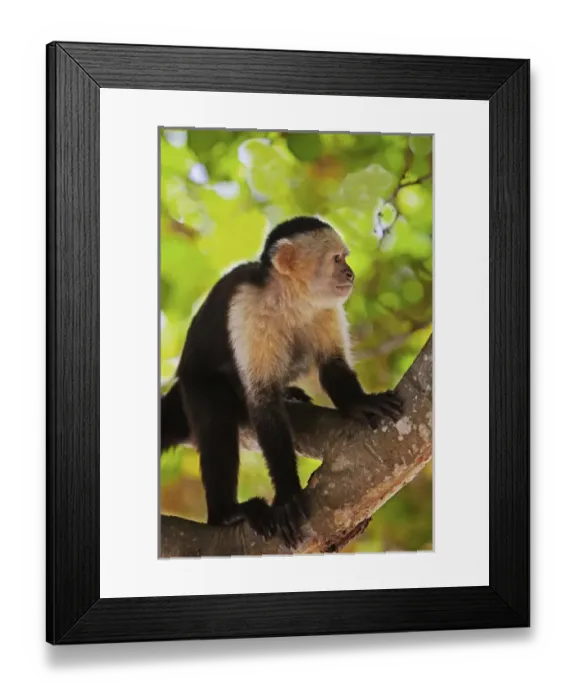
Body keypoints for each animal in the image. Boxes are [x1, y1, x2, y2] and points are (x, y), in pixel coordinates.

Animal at [160, 216, 404, 548]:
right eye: (337, 259)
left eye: (345, 258)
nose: (350, 274)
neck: (291, 298)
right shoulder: (248, 308)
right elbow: (263, 402)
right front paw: (287, 493)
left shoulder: (325, 308)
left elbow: (332, 366)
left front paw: (361, 403)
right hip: (196, 381)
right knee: (215, 423)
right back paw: (226, 513)